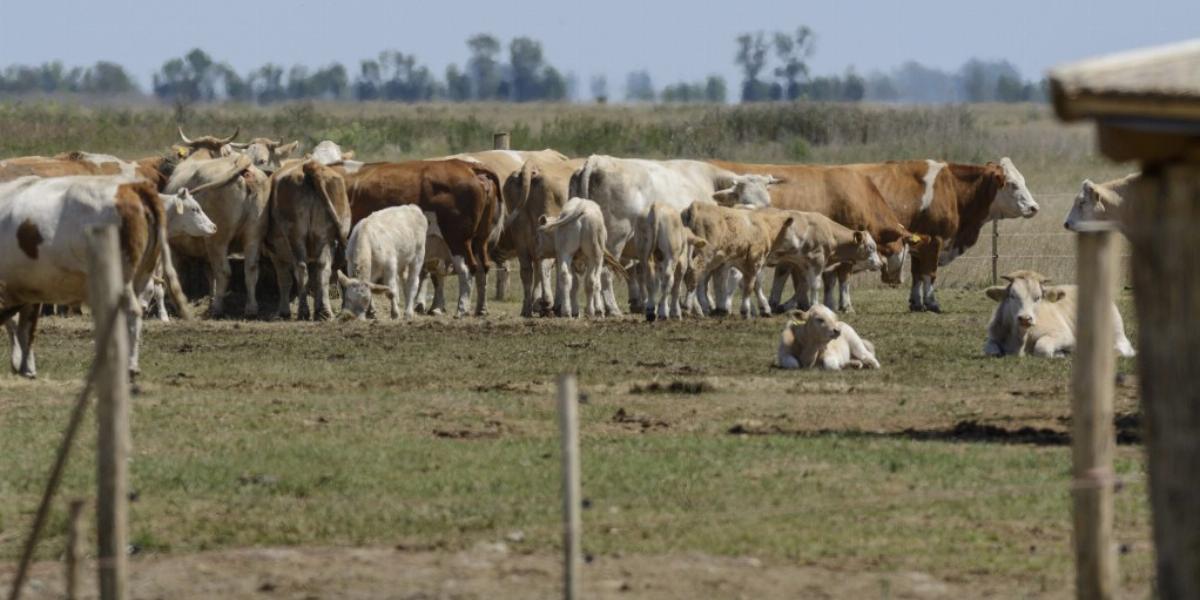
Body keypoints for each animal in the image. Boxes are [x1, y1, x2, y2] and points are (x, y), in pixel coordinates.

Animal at [0, 175, 189, 376]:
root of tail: (130, 187)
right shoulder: (30, 289)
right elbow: (23, 329)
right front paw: (25, 367)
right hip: (143, 276)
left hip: (121, 279)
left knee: (131, 313)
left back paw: (129, 365)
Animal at [164, 152, 272, 316]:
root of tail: (240, 162)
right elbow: (210, 273)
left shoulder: (174, 247)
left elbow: (176, 274)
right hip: (254, 235)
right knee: (251, 269)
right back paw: (251, 308)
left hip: (218, 240)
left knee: (224, 272)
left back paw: (217, 307)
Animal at [267, 158, 350, 319]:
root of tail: (310, 166)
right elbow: (314, 280)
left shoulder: (275, 253)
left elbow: (284, 280)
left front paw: (283, 311)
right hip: (324, 237)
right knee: (323, 269)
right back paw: (324, 311)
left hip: (296, 236)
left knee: (301, 268)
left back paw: (303, 311)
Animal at [345, 159, 504, 319]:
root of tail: (468, 166)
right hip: (480, 240)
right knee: (482, 269)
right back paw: (481, 309)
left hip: (458, 241)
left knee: (466, 270)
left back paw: (461, 309)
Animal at [984, 270, 1132, 357]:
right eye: (1012, 296)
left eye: (1038, 297)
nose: (1025, 318)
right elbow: (990, 350)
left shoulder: (1065, 335)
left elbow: (1042, 347)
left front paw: (1060, 354)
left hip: (1116, 330)